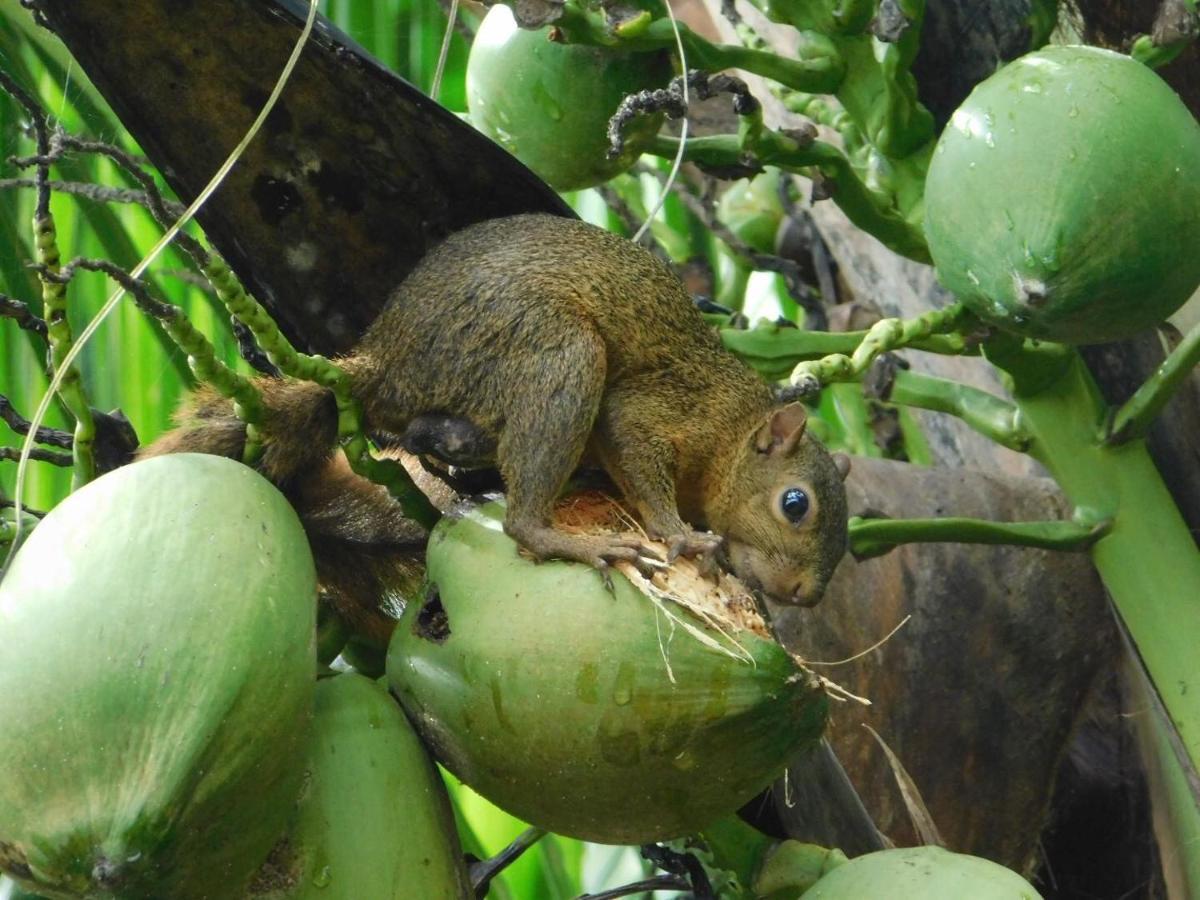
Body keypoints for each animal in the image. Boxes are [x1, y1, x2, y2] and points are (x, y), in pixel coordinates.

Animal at [142, 213, 854, 628]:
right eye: (796, 504)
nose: (805, 595)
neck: (733, 426)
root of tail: (384, 361)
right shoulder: (662, 406)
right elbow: (635, 450)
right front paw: (680, 534)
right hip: (553, 349)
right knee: (520, 522)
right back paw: (565, 536)